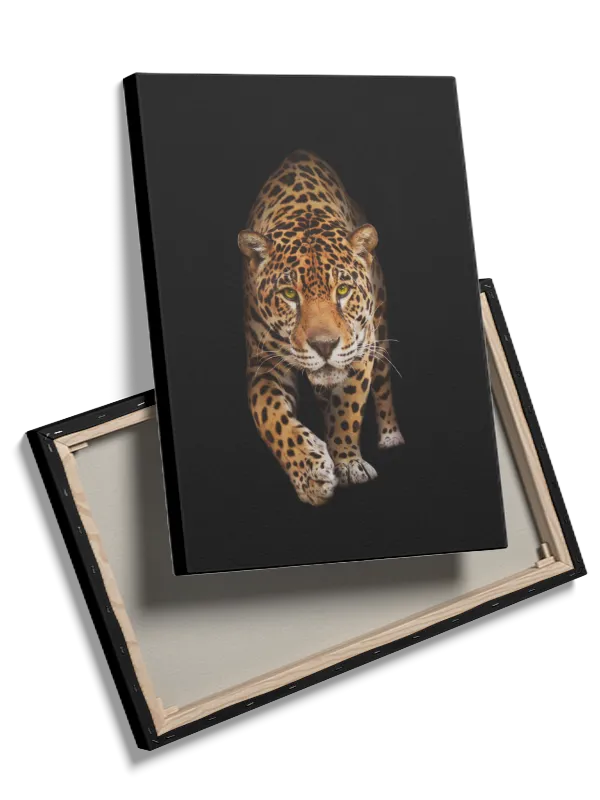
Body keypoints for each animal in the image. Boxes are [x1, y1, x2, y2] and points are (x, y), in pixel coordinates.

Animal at [238, 150, 404, 506]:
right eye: (289, 295)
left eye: (342, 290)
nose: (325, 345)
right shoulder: (264, 363)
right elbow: (270, 417)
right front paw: (311, 474)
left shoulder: (360, 348)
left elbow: (348, 408)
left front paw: (348, 463)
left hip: (382, 332)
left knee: (383, 384)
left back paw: (390, 437)